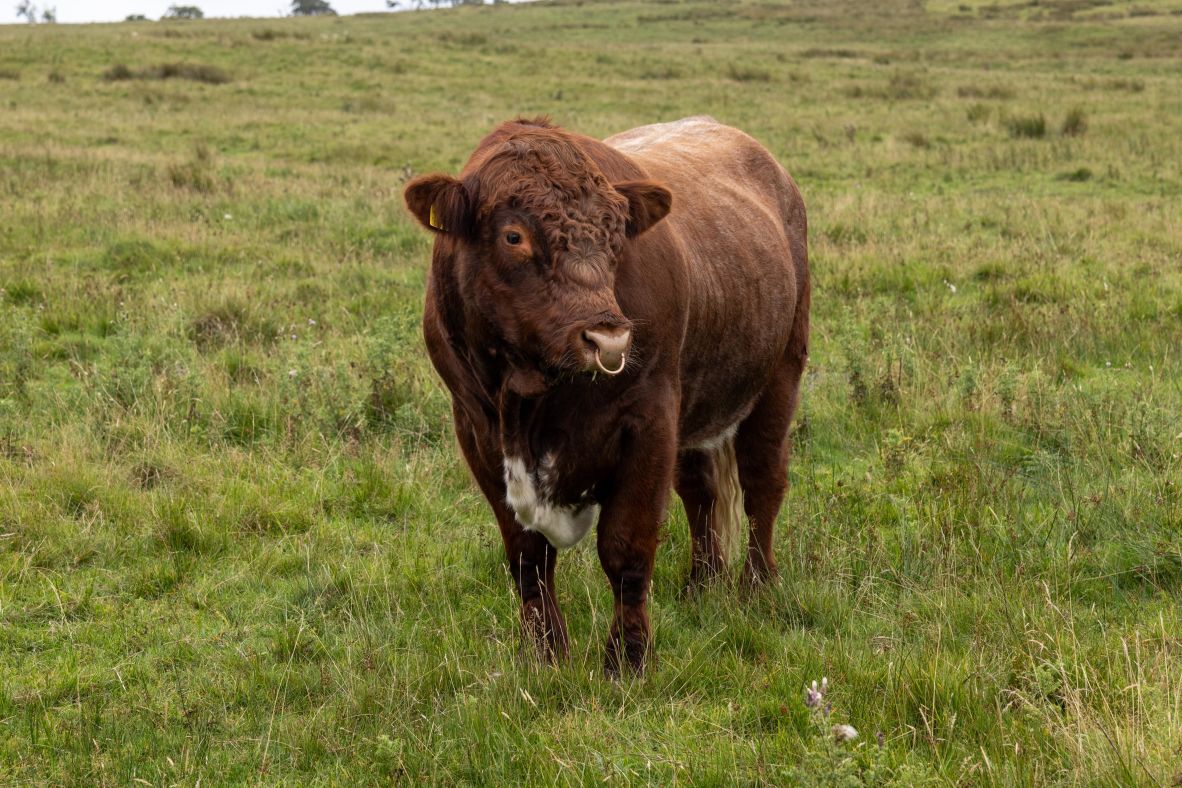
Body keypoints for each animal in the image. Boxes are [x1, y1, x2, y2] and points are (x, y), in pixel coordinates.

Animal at [404, 116, 809, 675]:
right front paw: (545, 653)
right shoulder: (477, 432)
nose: (608, 339)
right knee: (701, 493)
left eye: (617, 235)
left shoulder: (649, 420)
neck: (532, 396)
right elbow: (527, 556)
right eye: (513, 236)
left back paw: (757, 585)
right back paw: (703, 585)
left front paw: (628, 659)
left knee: (761, 483)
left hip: (779, 375)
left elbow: (626, 547)